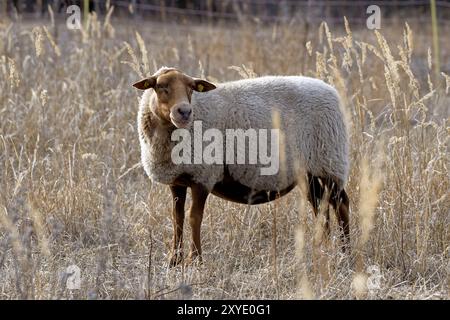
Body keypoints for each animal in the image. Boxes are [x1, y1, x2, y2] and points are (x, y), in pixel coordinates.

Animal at [132, 66, 350, 266]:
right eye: (160, 86)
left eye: (191, 88)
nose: (184, 112)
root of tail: (330, 89)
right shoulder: (178, 180)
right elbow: (177, 218)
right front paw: (174, 261)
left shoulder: (203, 175)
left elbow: (194, 218)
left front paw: (196, 260)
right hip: (309, 169)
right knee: (320, 206)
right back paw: (323, 249)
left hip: (329, 160)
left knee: (341, 204)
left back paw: (344, 253)